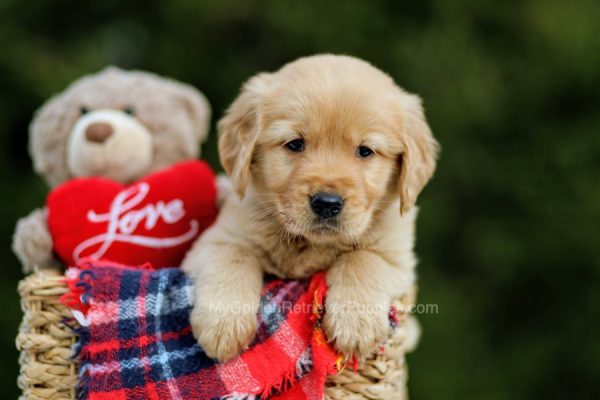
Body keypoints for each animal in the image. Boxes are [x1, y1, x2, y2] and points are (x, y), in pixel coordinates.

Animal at [180, 54, 438, 362]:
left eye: (365, 151)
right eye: (295, 144)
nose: (327, 204)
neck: (310, 244)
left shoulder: (396, 257)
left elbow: (362, 259)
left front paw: (356, 325)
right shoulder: (216, 239)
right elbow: (233, 256)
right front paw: (223, 325)